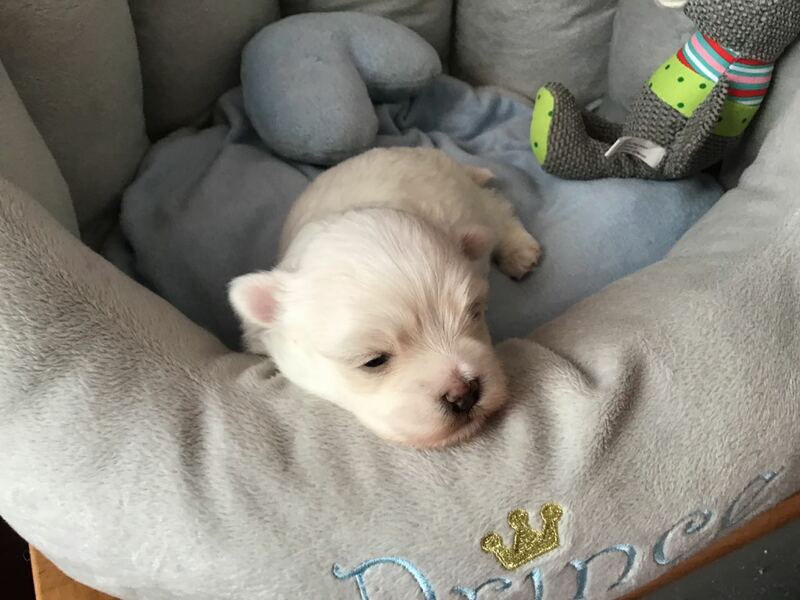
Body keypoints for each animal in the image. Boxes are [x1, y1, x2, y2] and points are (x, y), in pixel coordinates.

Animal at [229, 148, 541, 447]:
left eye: (474, 314)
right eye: (373, 361)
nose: (465, 393)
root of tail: (424, 151)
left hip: (475, 202)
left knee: (497, 209)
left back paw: (519, 251)